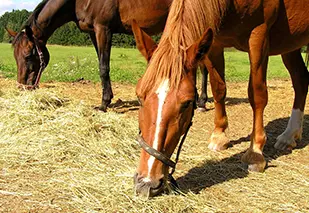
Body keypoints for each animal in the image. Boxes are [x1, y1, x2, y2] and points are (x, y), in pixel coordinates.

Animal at [6, 0, 209, 111]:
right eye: (14, 56)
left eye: (28, 55)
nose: (22, 87)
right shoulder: (93, 33)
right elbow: (102, 65)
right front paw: (108, 99)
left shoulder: (103, 29)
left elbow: (104, 67)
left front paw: (103, 104)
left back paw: (201, 102)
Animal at [132, 0, 308, 197]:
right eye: (139, 97)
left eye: (187, 103)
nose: (147, 182)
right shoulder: (214, 42)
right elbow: (218, 88)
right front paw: (219, 136)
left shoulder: (259, 33)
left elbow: (257, 94)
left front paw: (255, 153)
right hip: (291, 45)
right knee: (301, 80)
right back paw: (290, 136)